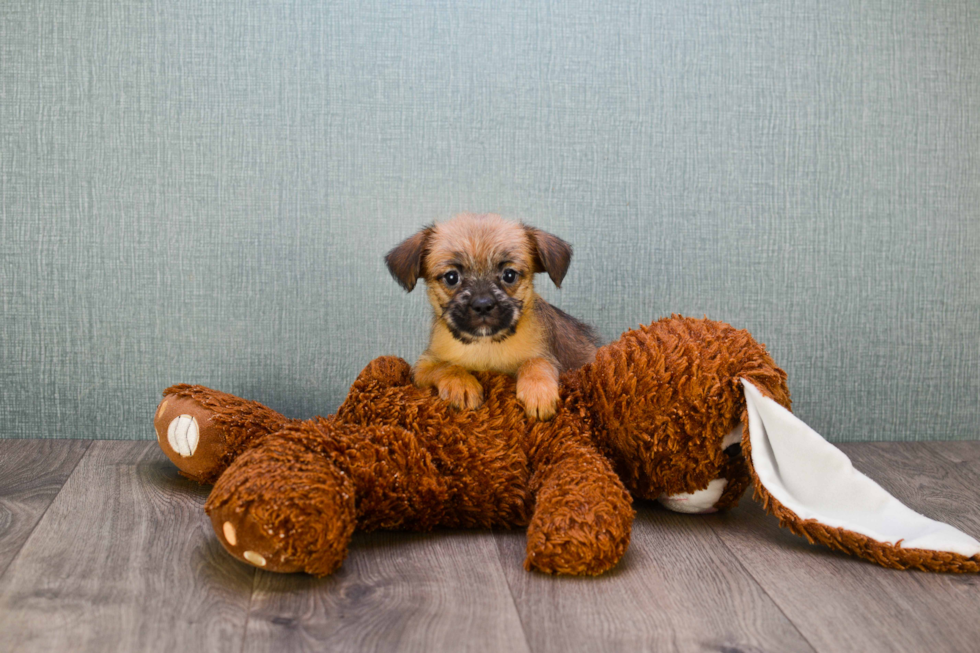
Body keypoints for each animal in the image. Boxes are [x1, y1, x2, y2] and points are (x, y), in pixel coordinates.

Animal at [380, 211, 596, 420]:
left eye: (509, 275)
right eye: (451, 277)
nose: (482, 304)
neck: (485, 345)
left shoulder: (548, 357)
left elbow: (536, 362)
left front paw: (538, 391)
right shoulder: (423, 366)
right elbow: (446, 366)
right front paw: (462, 385)